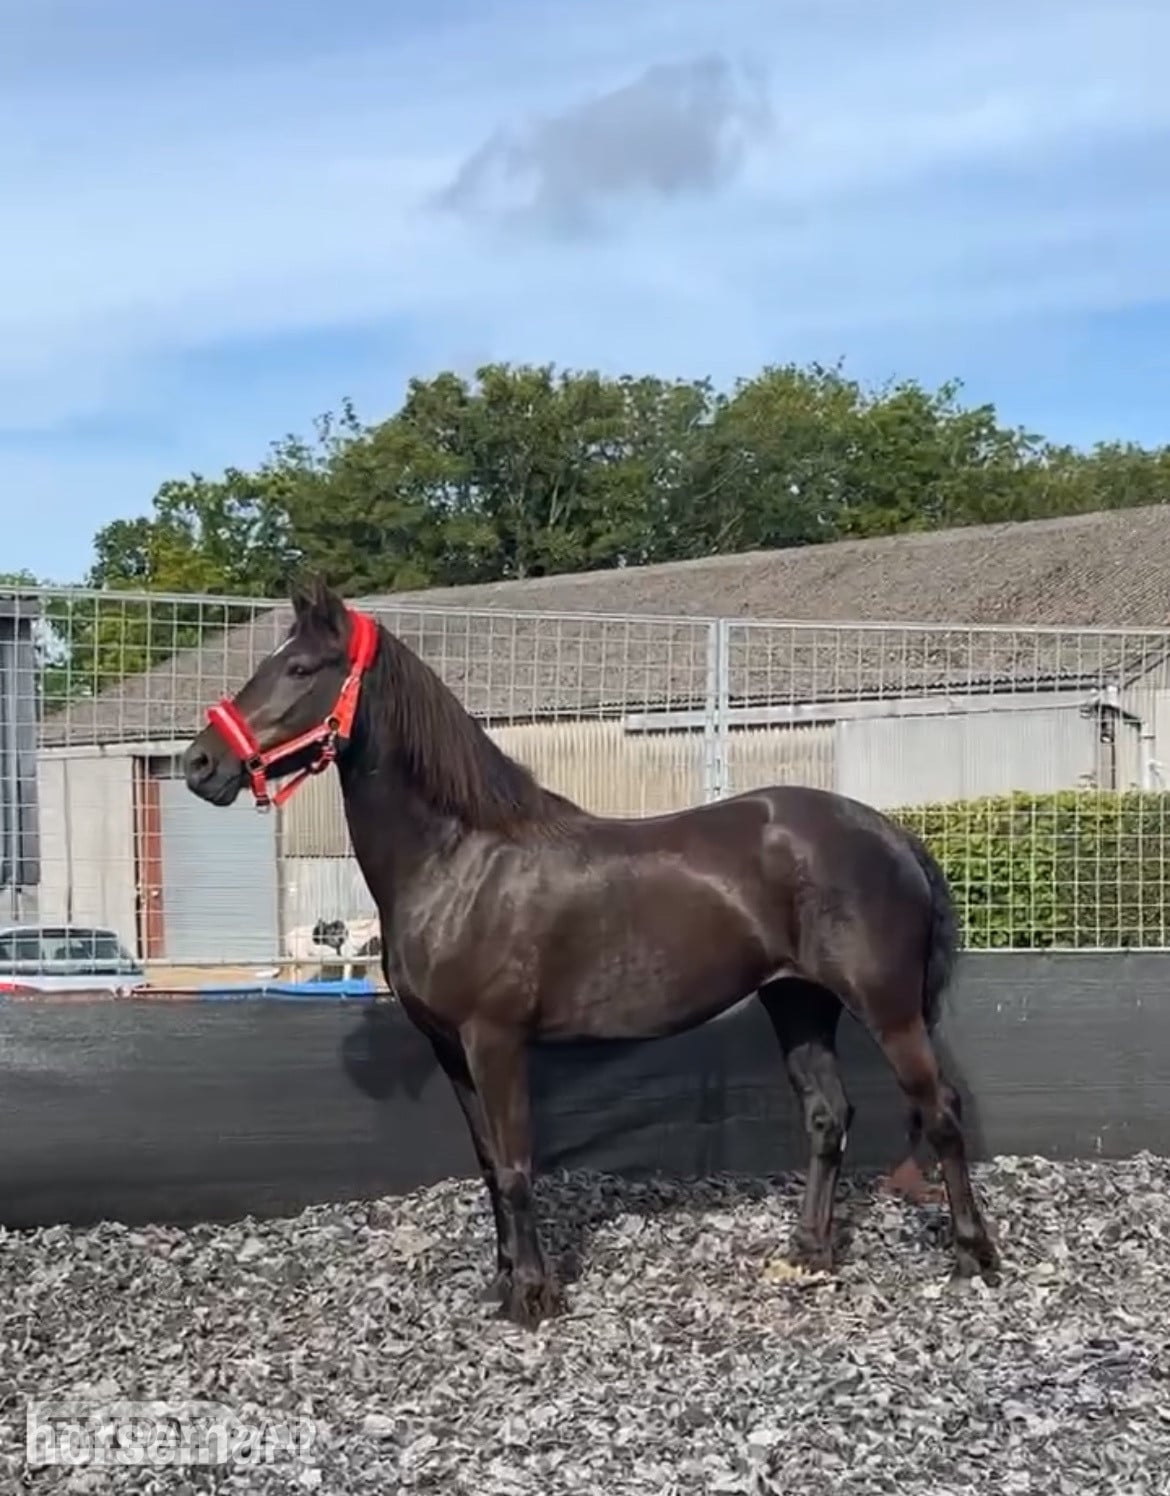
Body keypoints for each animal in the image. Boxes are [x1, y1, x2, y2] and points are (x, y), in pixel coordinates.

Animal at [181, 579, 1000, 1328]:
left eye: (300, 668)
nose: (199, 765)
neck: (458, 859)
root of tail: (887, 832)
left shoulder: (496, 1041)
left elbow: (516, 1167)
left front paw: (533, 1297)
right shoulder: (451, 1049)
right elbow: (488, 1166)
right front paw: (502, 1282)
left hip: (887, 1010)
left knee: (941, 1111)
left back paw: (972, 1256)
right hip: (798, 1000)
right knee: (829, 1114)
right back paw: (809, 1251)